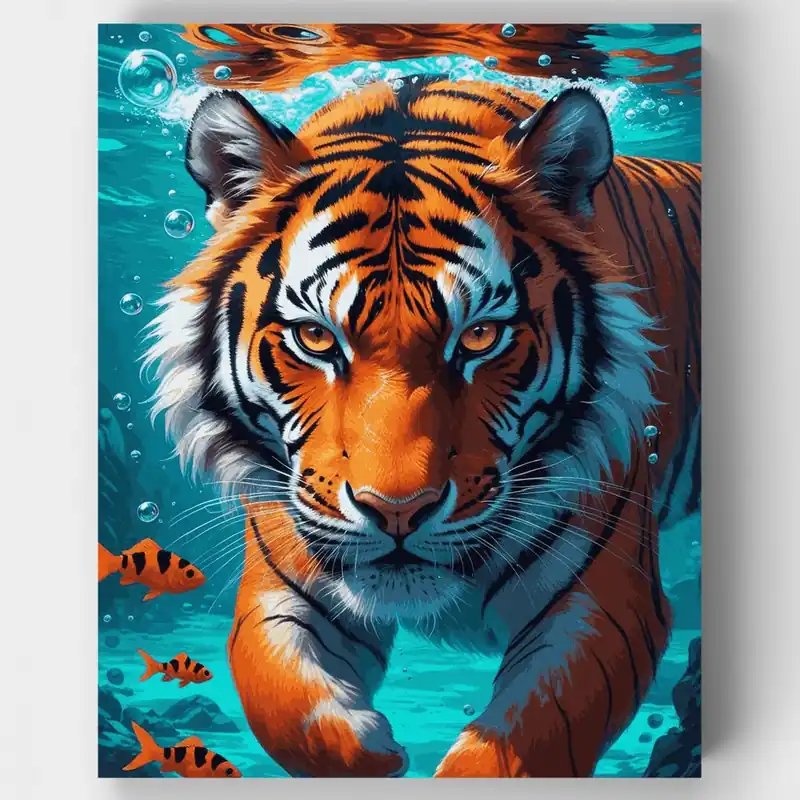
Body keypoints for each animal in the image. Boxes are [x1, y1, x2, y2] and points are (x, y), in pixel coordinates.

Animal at [145, 75, 700, 777]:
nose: (398, 511)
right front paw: (379, 753)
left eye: (480, 336)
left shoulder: (606, 603)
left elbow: (517, 750)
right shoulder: (281, 586)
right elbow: (285, 708)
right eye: (316, 338)